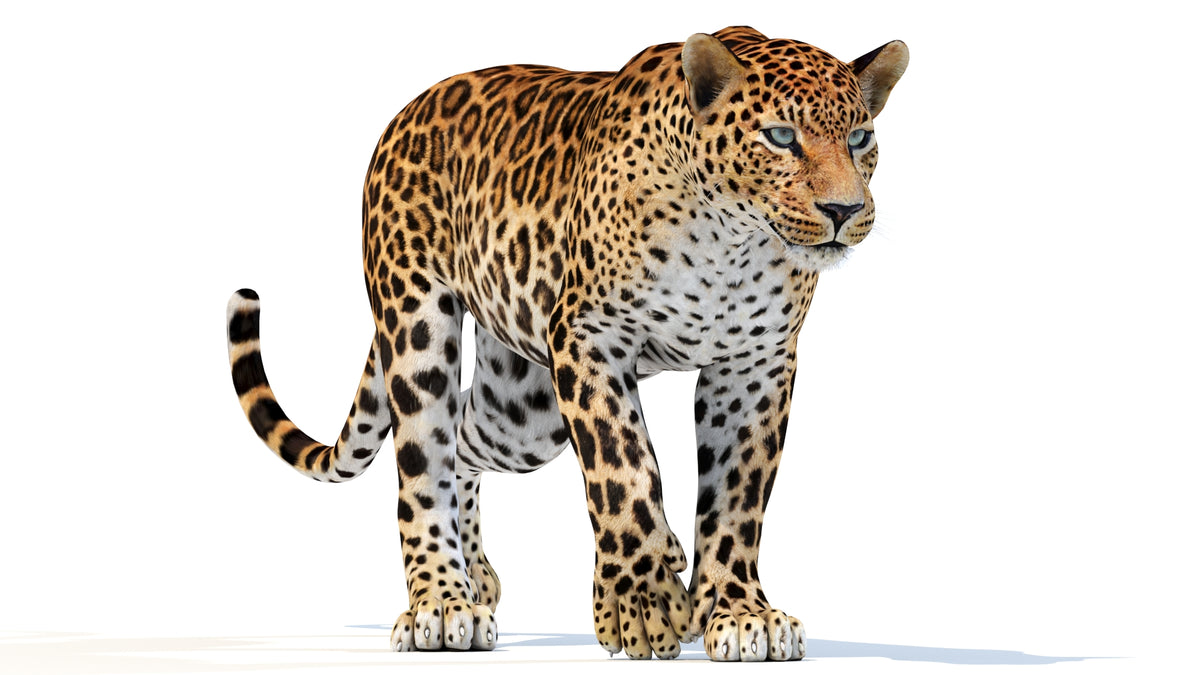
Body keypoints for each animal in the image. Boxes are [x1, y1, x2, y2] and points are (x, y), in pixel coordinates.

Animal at [225, 25, 907, 661]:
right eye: (781, 137)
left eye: (859, 139)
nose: (844, 210)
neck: (731, 245)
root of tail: (407, 112)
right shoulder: (589, 337)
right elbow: (623, 466)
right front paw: (641, 604)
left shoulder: (756, 363)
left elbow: (737, 497)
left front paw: (738, 612)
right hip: (417, 323)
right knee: (422, 461)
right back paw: (443, 605)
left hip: (521, 411)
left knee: (462, 441)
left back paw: (478, 575)